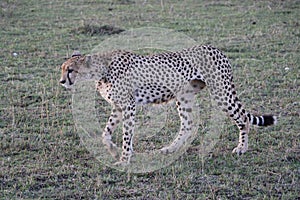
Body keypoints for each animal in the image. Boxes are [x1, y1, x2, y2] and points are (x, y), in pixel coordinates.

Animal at [59, 45, 276, 166]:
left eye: (70, 70)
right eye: (62, 69)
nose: (61, 81)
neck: (101, 69)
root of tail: (215, 49)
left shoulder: (128, 106)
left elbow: (127, 136)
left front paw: (124, 159)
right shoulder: (118, 107)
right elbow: (105, 133)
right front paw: (113, 150)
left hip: (221, 92)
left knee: (243, 118)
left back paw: (241, 148)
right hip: (184, 96)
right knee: (188, 124)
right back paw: (170, 149)